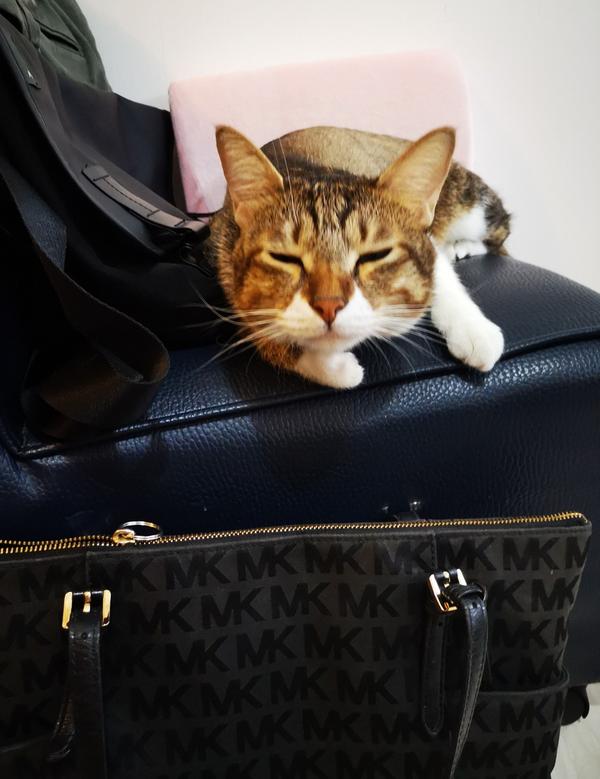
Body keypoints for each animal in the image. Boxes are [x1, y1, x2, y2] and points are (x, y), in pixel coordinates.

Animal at [206, 125, 509, 389]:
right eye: (284, 258)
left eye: (375, 255)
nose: (329, 306)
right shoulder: (224, 259)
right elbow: (263, 331)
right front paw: (336, 368)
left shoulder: (425, 240)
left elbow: (438, 274)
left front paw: (473, 330)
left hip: (472, 208)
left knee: (501, 232)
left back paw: (462, 246)